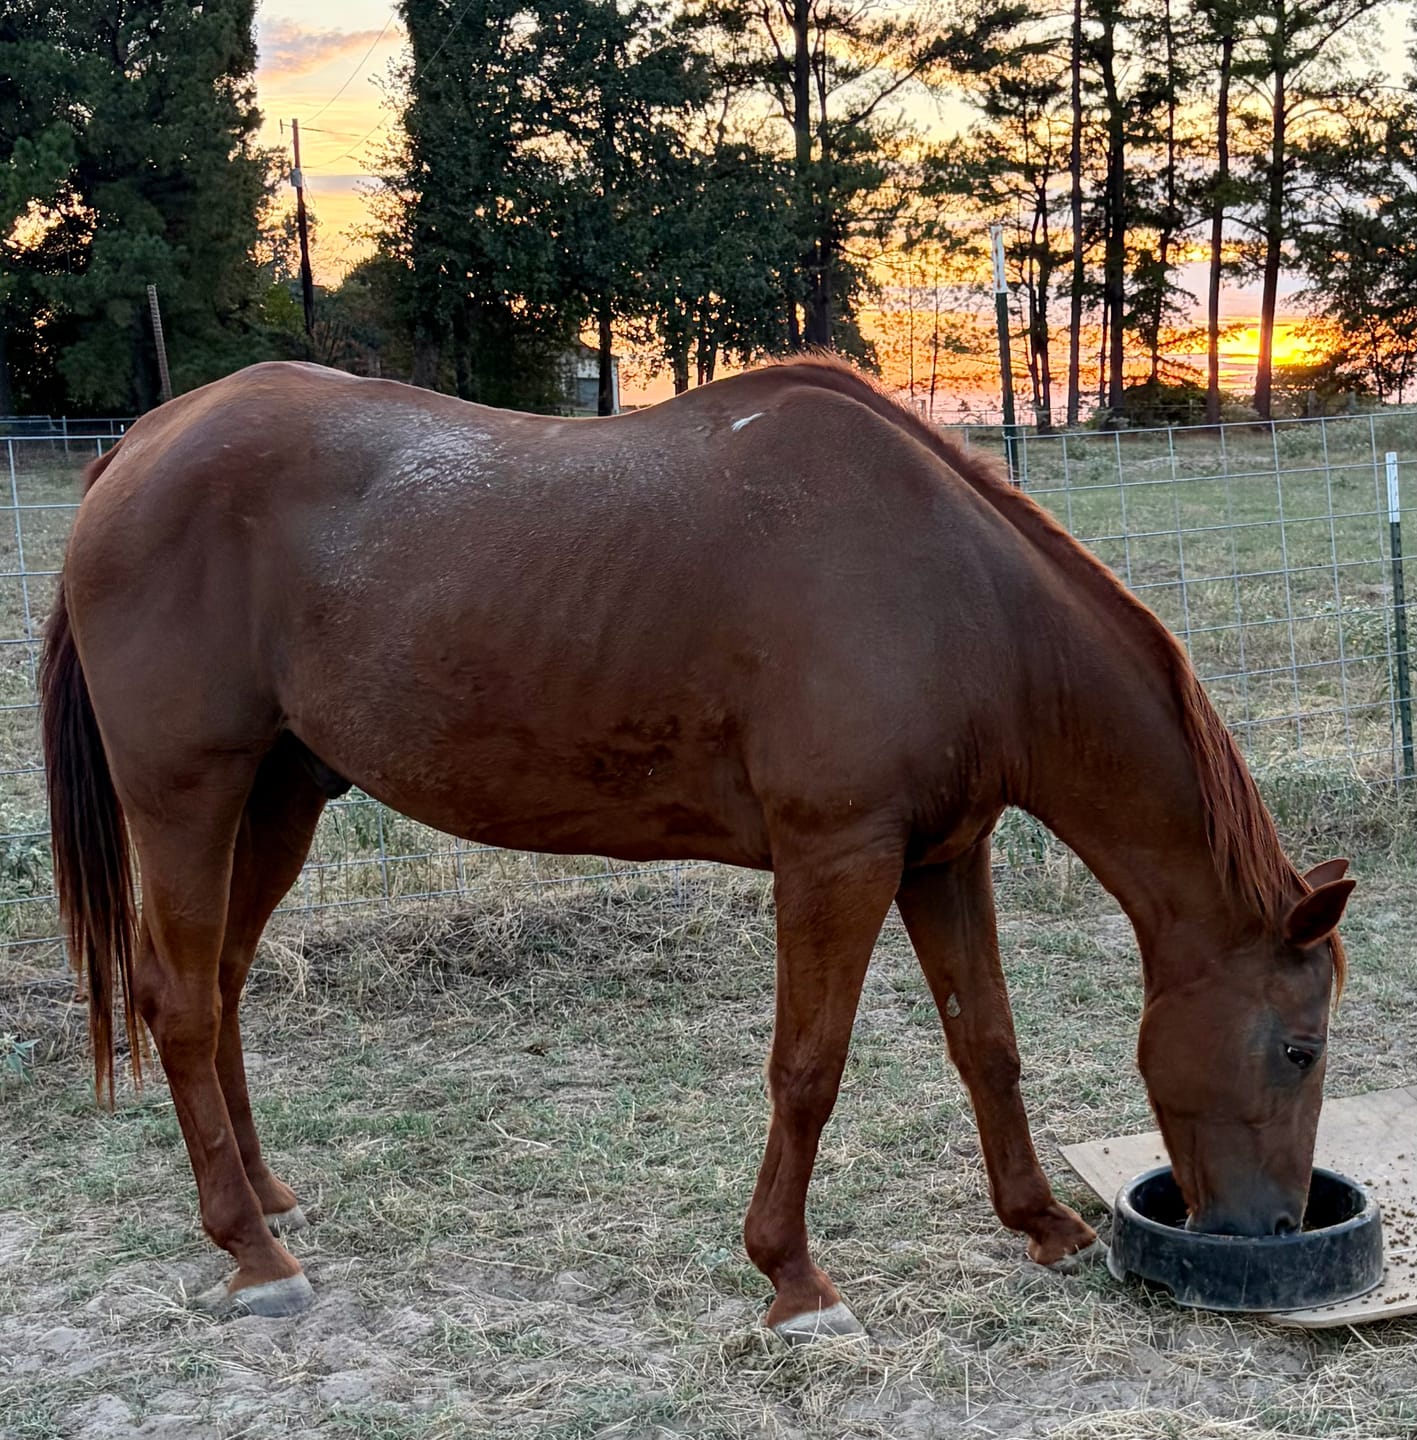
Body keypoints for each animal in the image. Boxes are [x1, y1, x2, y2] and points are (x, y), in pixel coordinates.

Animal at [40, 357, 1353, 1339]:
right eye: (1297, 1049)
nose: (1273, 1234)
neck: (958, 597)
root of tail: (135, 451)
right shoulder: (837, 860)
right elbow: (808, 1069)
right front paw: (794, 1279)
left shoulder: (943, 857)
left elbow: (986, 1043)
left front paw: (1041, 1225)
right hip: (187, 798)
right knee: (180, 1002)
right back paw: (253, 1256)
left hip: (277, 801)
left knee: (219, 986)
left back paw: (267, 1202)